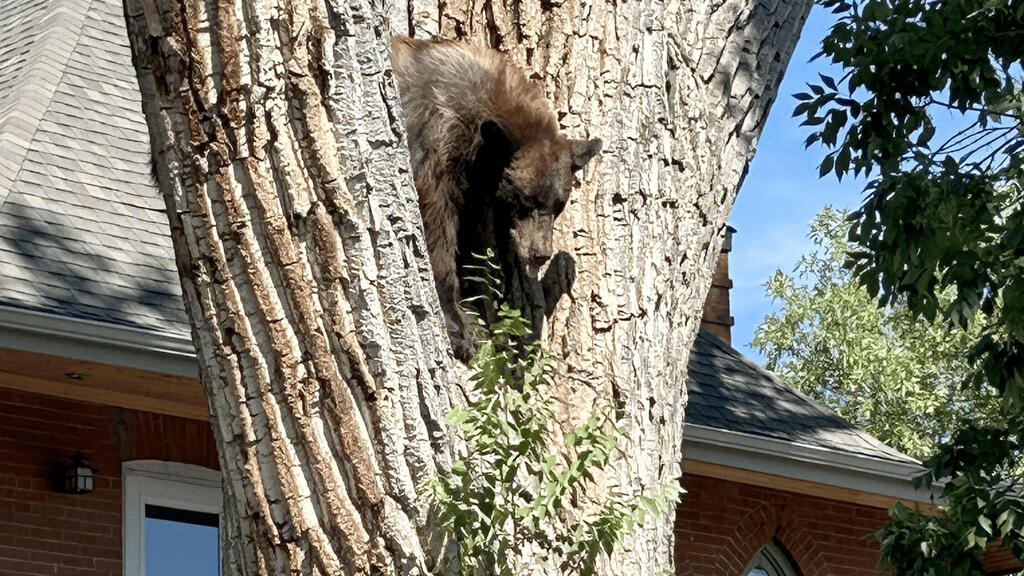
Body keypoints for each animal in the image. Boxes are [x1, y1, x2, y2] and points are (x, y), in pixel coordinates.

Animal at [391, 35, 602, 360]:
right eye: (527, 200)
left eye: (559, 205)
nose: (540, 253)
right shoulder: (433, 147)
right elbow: (437, 231)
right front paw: (460, 328)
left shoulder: (475, 185)